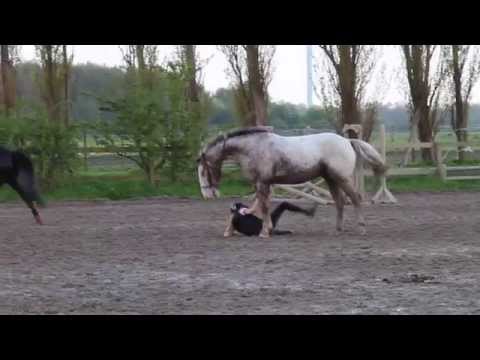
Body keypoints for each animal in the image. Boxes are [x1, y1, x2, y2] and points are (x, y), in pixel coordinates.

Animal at [197, 127, 388, 239]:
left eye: (203, 171)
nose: (207, 194)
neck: (254, 147)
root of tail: (347, 141)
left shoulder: (262, 182)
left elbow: (264, 206)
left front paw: (264, 232)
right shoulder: (264, 184)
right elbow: (264, 204)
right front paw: (267, 229)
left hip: (341, 178)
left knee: (355, 198)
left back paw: (361, 229)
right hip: (330, 179)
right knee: (340, 202)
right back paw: (337, 230)